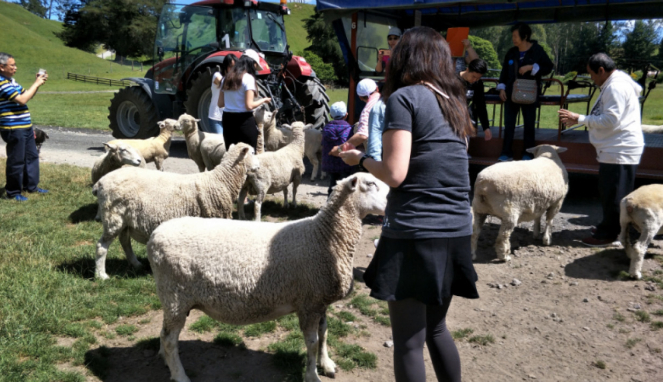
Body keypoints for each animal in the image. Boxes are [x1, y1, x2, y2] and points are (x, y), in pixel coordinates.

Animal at [92, 142, 258, 280]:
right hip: (113, 216)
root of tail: (100, 182)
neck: (222, 180)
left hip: (125, 219)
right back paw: (101, 275)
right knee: (102, 246)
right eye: (253, 152)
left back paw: (136, 264)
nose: (258, 167)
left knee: (125, 241)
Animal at [147, 172, 390, 382]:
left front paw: (327, 364)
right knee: (169, 340)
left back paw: (166, 362)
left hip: (171, 300)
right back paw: (180, 376)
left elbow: (324, 333)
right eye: (371, 184)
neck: (322, 236)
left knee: (164, 334)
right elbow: (312, 342)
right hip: (175, 296)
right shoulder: (309, 303)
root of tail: (155, 235)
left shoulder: (319, 301)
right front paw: (312, 376)